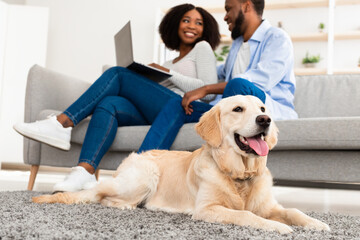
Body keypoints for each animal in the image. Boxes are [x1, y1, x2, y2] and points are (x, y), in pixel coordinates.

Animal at [32, 95, 330, 234]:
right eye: (238, 109)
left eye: (263, 109)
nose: (265, 121)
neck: (239, 173)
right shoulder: (207, 209)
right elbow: (246, 214)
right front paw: (278, 228)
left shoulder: (269, 206)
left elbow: (293, 211)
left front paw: (316, 223)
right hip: (143, 178)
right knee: (99, 195)